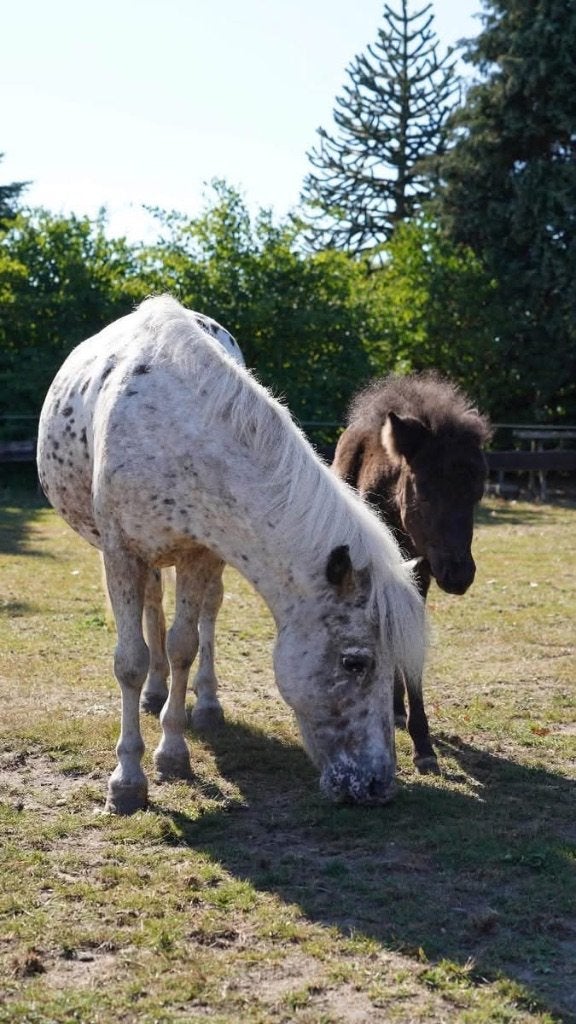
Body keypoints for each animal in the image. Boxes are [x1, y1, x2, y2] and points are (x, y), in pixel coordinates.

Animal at [37, 295, 425, 814]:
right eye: (354, 663)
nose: (378, 785)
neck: (175, 434)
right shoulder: (120, 555)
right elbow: (131, 662)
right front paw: (127, 781)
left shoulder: (199, 553)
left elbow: (184, 645)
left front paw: (173, 754)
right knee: (152, 612)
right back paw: (154, 694)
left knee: (204, 618)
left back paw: (205, 705)